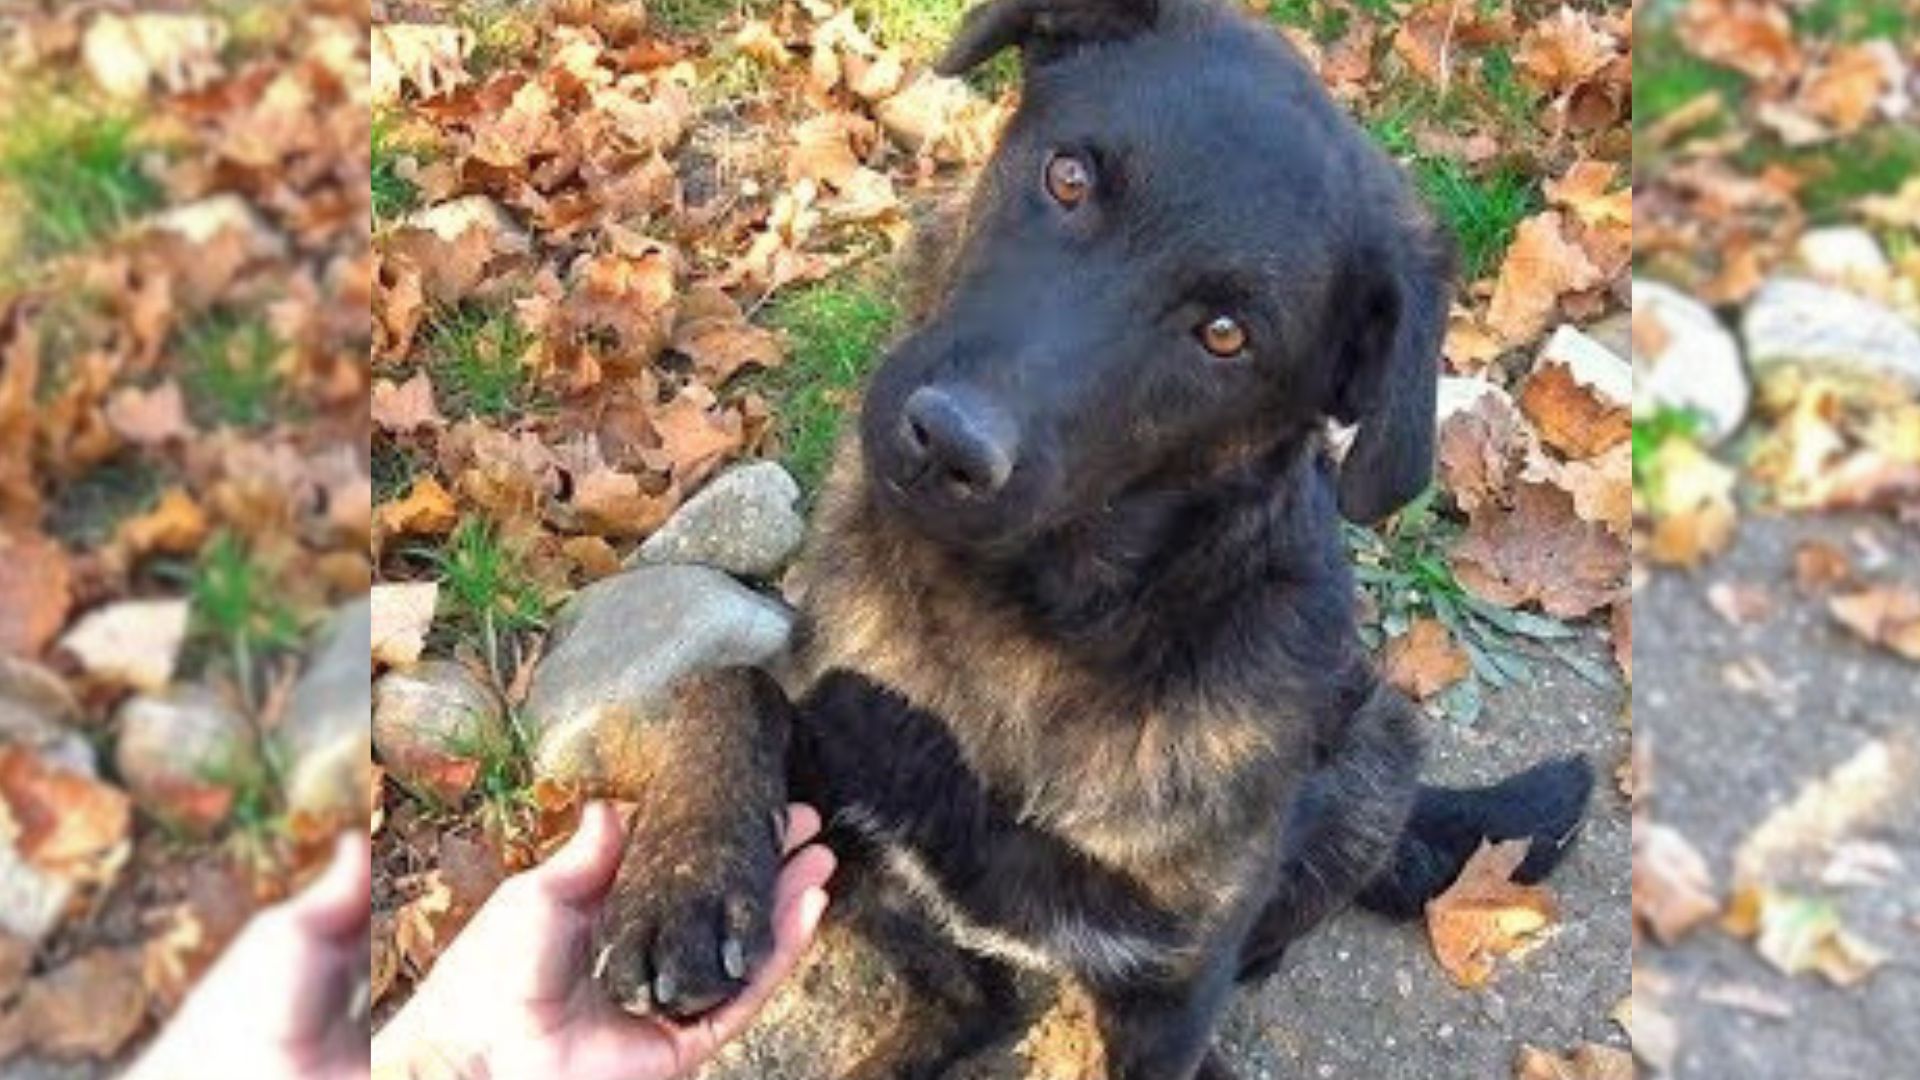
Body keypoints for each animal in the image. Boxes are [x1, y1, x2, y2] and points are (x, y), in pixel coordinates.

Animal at [591, 4, 1597, 1068]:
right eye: (1068, 178)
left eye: (1227, 335)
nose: (948, 441)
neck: (1022, 634)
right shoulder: (840, 777)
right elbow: (728, 682)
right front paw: (682, 884)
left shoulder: (1168, 994)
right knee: (973, 998)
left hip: (1376, 753)